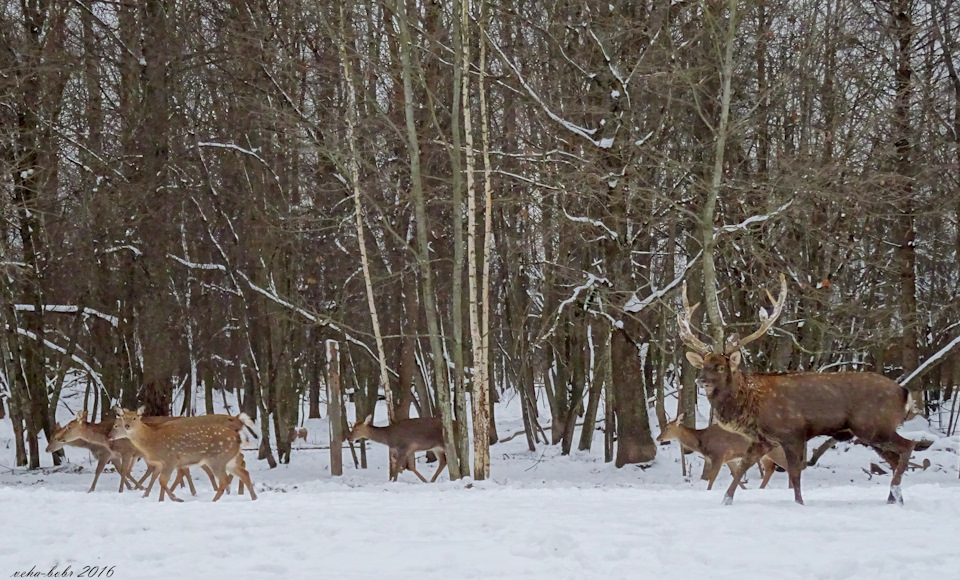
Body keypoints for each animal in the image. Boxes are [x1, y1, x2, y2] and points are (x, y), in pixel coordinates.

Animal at [109, 406, 256, 500]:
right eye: (123, 418)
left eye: (134, 418)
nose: (110, 436)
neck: (152, 440)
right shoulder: (164, 463)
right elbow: (159, 479)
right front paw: (156, 497)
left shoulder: (170, 459)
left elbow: (163, 480)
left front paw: (175, 498)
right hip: (228, 460)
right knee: (244, 473)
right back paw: (253, 497)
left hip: (217, 459)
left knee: (225, 480)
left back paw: (216, 499)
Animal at [656, 412, 800, 490]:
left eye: (667, 427)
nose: (658, 438)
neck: (702, 442)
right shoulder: (729, 458)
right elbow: (735, 474)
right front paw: (745, 490)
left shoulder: (718, 454)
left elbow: (712, 477)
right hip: (766, 454)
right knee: (770, 469)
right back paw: (761, 488)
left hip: (775, 451)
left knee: (787, 466)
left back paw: (790, 488)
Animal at [680, 274, 920, 506]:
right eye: (703, 366)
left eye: (720, 367)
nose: (701, 381)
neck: (752, 404)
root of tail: (904, 392)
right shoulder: (763, 440)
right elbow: (742, 468)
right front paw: (726, 501)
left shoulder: (793, 433)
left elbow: (795, 473)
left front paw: (799, 503)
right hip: (873, 433)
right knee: (895, 459)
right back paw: (894, 498)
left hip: (874, 426)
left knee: (909, 446)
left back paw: (895, 493)